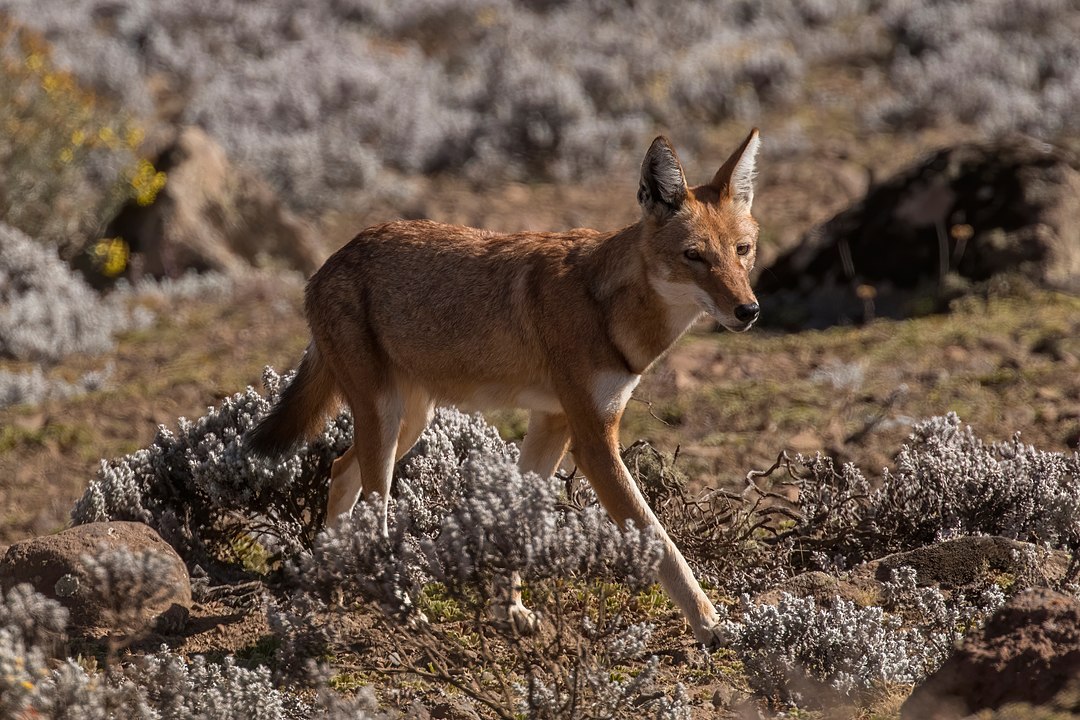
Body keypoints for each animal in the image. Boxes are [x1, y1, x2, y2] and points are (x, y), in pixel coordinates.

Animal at [248, 131, 764, 647]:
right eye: (694, 256)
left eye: (742, 250)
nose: (749, 311)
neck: (608, 308)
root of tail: (328, 262)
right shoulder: (594, 443)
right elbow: (661, 541)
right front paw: (712, 624)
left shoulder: (554, 423)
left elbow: (517, 520)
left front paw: (509, 610)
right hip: (388, 422)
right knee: (373, 514)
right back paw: (401, 608)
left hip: (408, 425)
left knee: (339, 471)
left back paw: (331, 585)